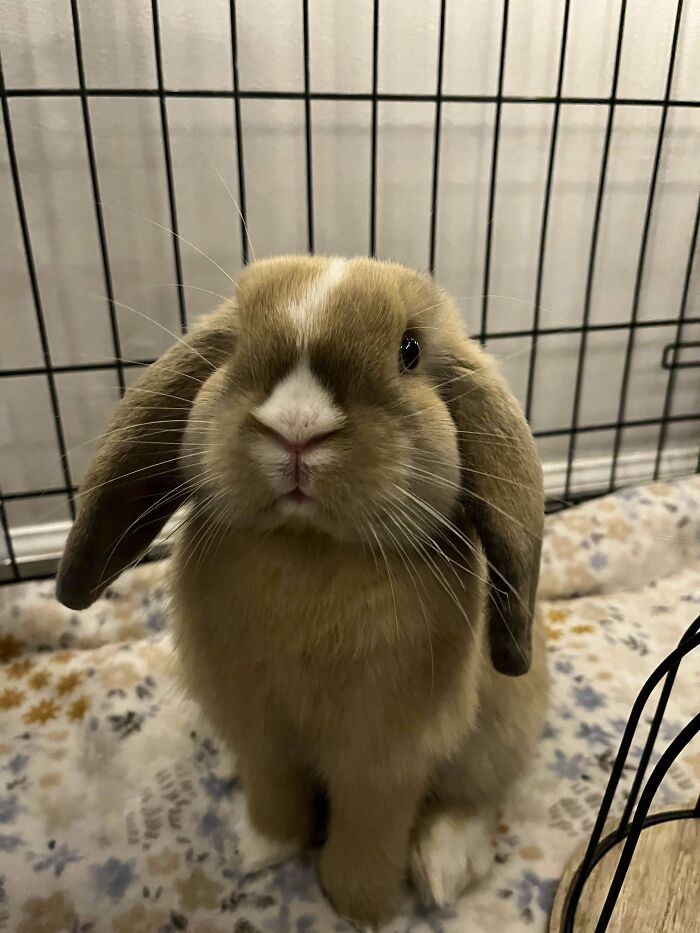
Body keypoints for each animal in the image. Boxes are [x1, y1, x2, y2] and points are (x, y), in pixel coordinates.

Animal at [56, 255, 547, 930]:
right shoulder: (257, 729)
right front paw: (261, 849)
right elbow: (273, 790)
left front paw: (361, 906)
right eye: (237, 344)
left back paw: (443, 866)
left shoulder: (385, 757)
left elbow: (371, 824)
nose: (296, 428)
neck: (309, 546)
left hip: (500, 734)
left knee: (473, 799)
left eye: (411, 350)